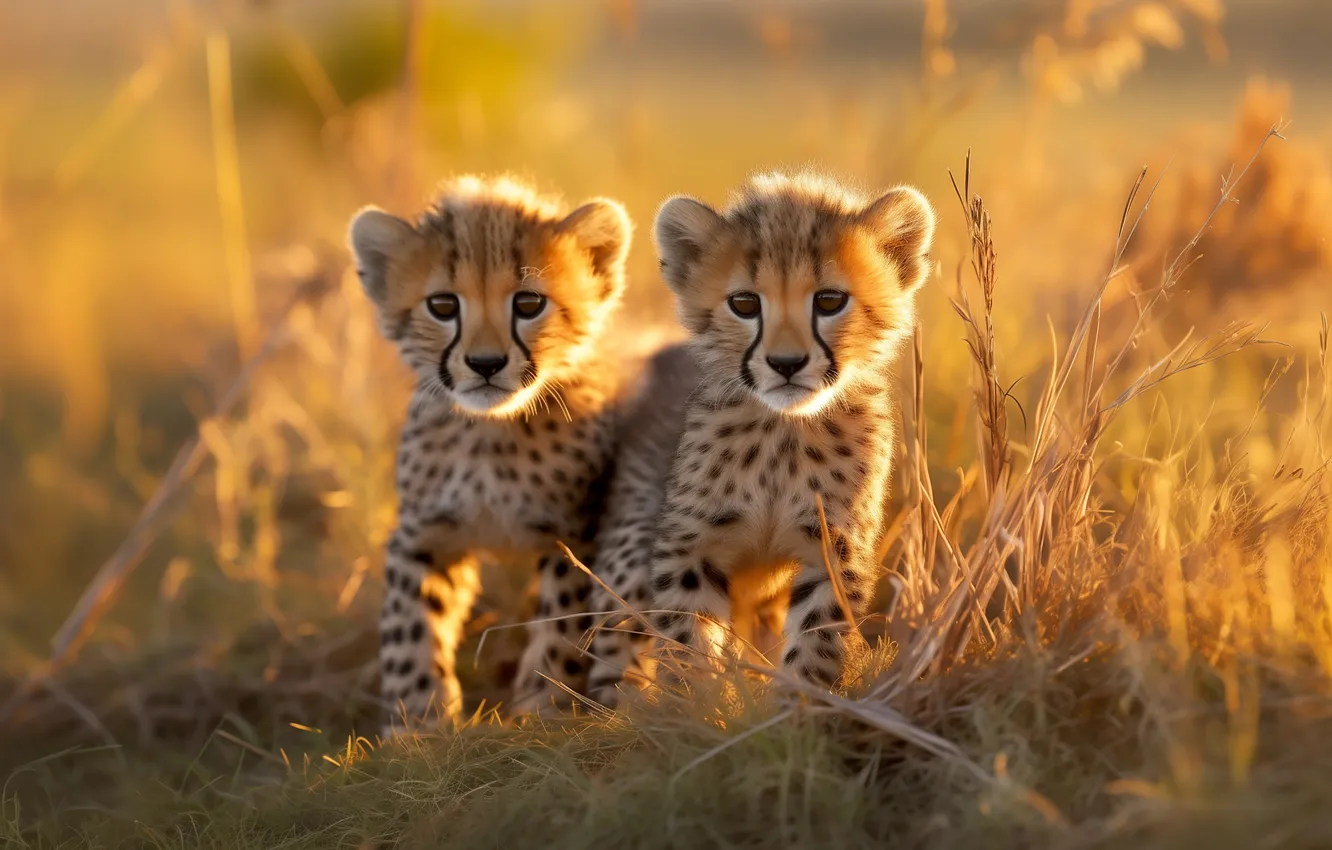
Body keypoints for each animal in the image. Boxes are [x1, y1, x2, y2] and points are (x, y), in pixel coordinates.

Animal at [348, 175, 637, 732]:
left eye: (528, 304)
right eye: (442, 306)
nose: (485, 364)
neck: (489, 434)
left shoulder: (573, 537)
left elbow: (562, 629)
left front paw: (540, 711)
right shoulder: (425, 533)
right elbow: (410, 629)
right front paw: (420, 726)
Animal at [638, 171, 936, 690]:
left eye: (830, 300)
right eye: (743, 304)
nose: (786, 363)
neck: (783, 432)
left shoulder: (834, 548)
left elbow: (816, 645)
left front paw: (795, 706)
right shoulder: (690, 548)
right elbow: (688, 645)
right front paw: (697, 705)